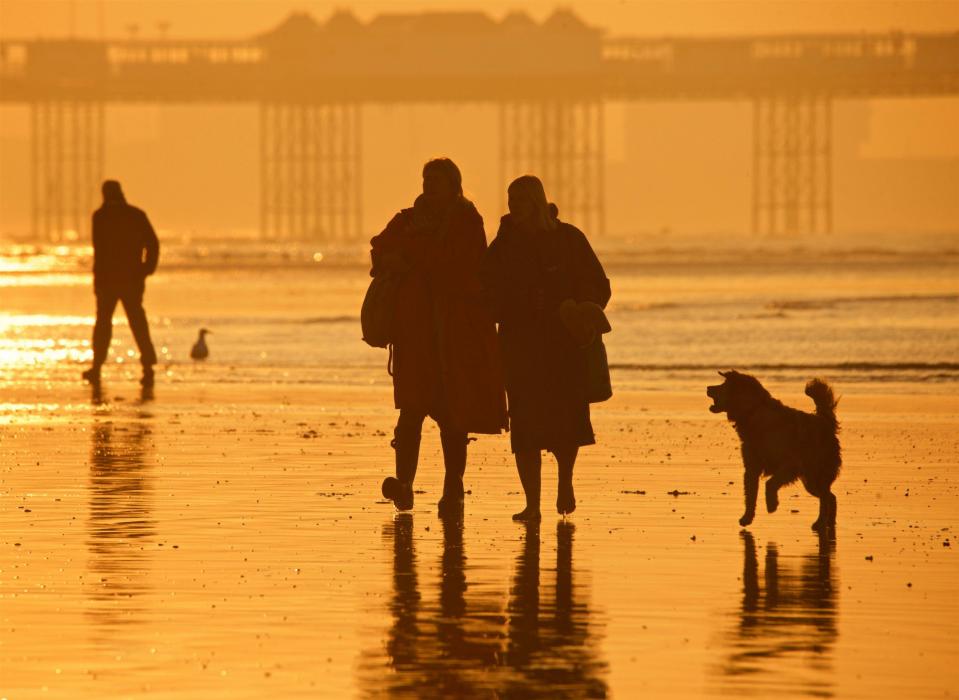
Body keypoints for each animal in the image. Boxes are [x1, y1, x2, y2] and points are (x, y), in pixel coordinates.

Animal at [704, 372, 840, 532]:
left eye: (723, 385)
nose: (708, 387)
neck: (753, 412)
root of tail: (826, 422)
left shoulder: (791, 464)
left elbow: (770, 483)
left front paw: (772, 504)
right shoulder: (751, 468)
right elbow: (750, 497)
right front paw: (747, 517)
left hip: (815, 475)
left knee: (826, 497)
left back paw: (820, 522)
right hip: (810, 481)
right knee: (831, 496)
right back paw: (829, 522)